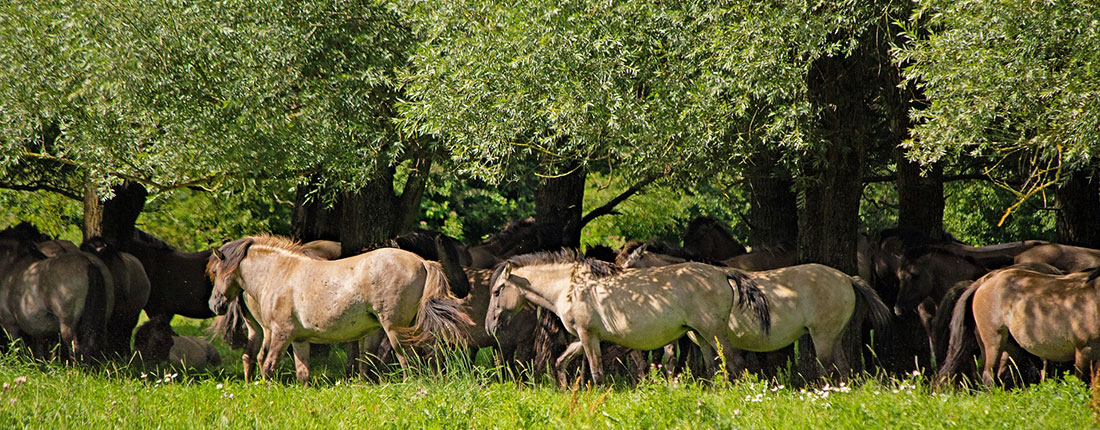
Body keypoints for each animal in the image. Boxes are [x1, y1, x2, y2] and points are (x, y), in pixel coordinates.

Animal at [206, 235, 473, 384]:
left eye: (216, 271)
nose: (214, 304)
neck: (280, 271)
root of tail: (422, 262)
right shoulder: (299, 339)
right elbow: (302, 373)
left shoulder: (282, 333)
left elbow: (269, 365)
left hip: (395, 329)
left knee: (409, 359)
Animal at [486, 250, 770, 384]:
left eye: (498, 291)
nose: (490, 326)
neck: (570, 285)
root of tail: (722, 273)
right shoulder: (581, 338)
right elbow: (560, 363)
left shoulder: (589, 337)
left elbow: (596, 372)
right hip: (700, 335)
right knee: (713, 367)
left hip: (714, 333)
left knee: (735, 363)